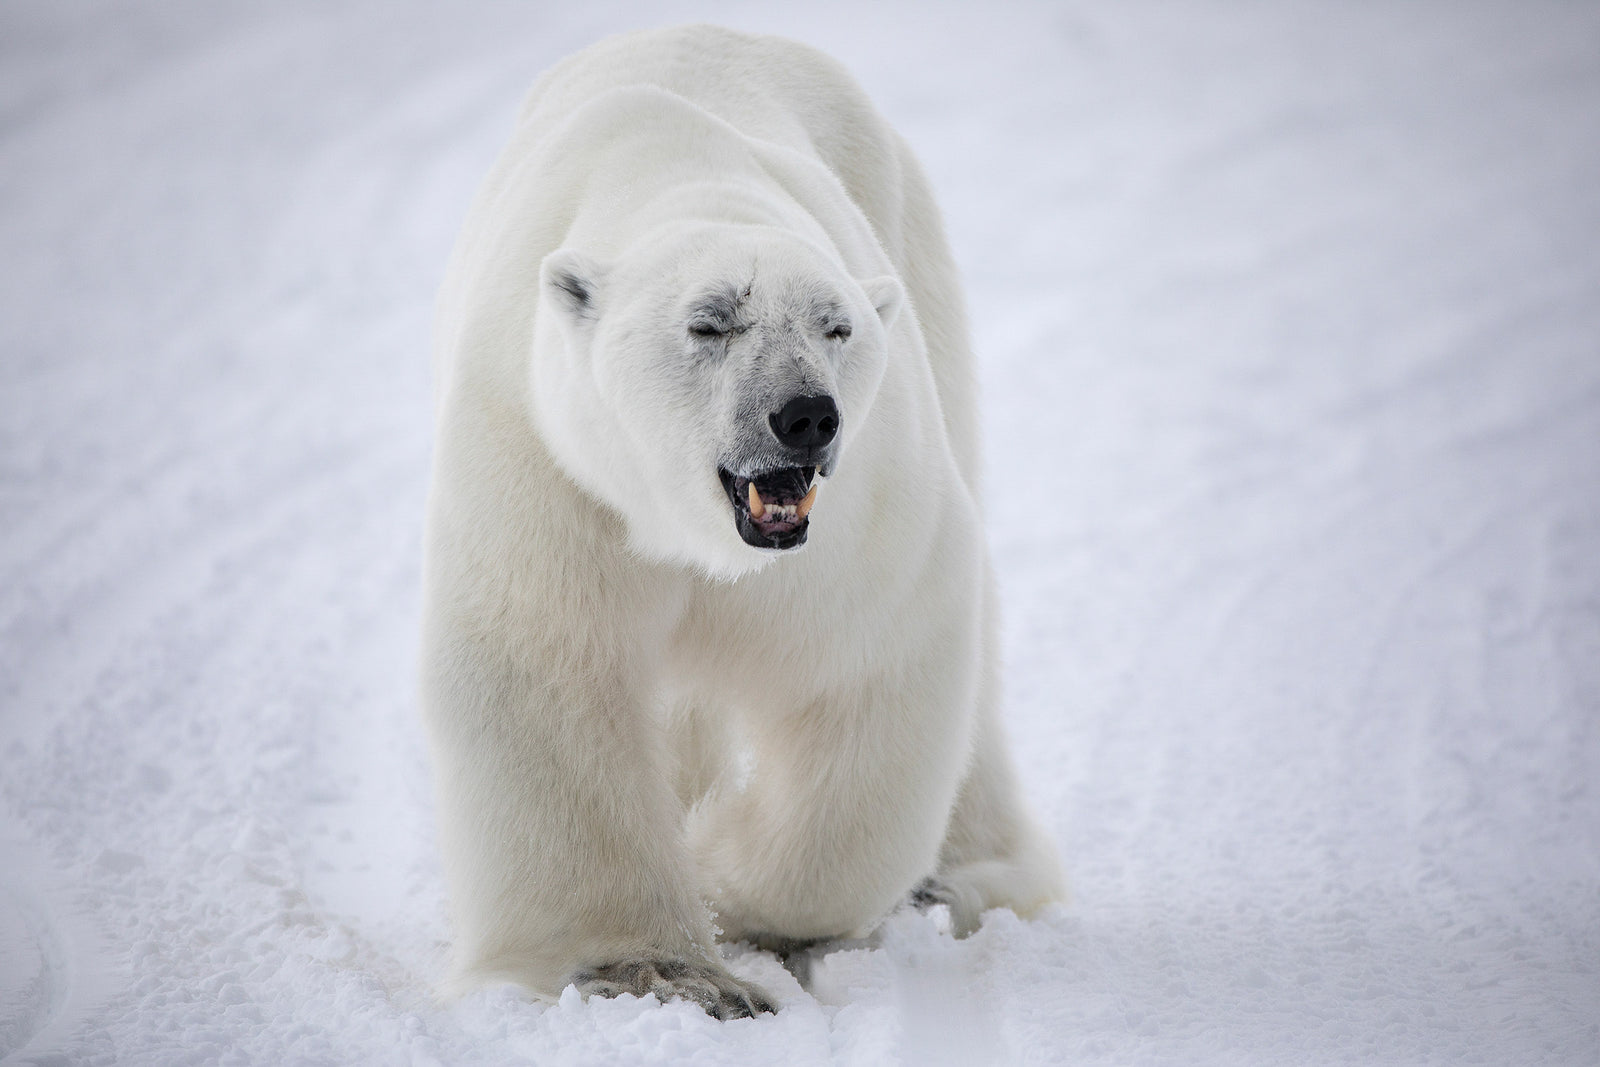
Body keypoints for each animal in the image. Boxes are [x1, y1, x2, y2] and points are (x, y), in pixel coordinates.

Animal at [420, 24, 1064, 1019]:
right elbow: (548, 664)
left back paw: (964, 876)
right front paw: (657, 970)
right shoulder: (551, 461)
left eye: (836, 326)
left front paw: (727, 871)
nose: (805, 415)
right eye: (709, 323)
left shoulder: (857, 512)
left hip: (918, 260)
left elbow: (870, 656)